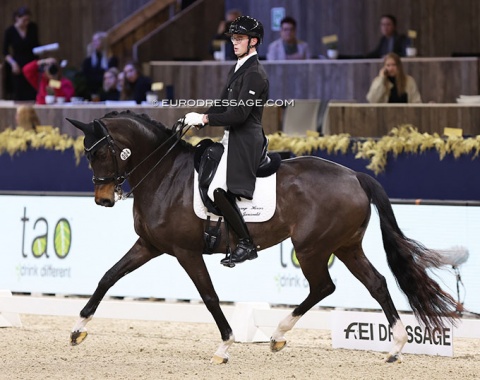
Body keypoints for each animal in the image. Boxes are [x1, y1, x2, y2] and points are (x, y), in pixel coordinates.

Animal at [65, 110, 460, 362]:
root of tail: (355, 176)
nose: (103, 199)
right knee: (375, 283)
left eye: (101, 152)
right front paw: (78, 328)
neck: (165, 175)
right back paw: (394, 347)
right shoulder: (149, 245)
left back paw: (279, 334)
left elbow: (209, 296)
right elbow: (108, 276)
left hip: (312, 247)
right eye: (87, 153)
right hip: (346, 246)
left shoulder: (186, 252)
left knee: (324, 286)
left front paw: (225, 346)